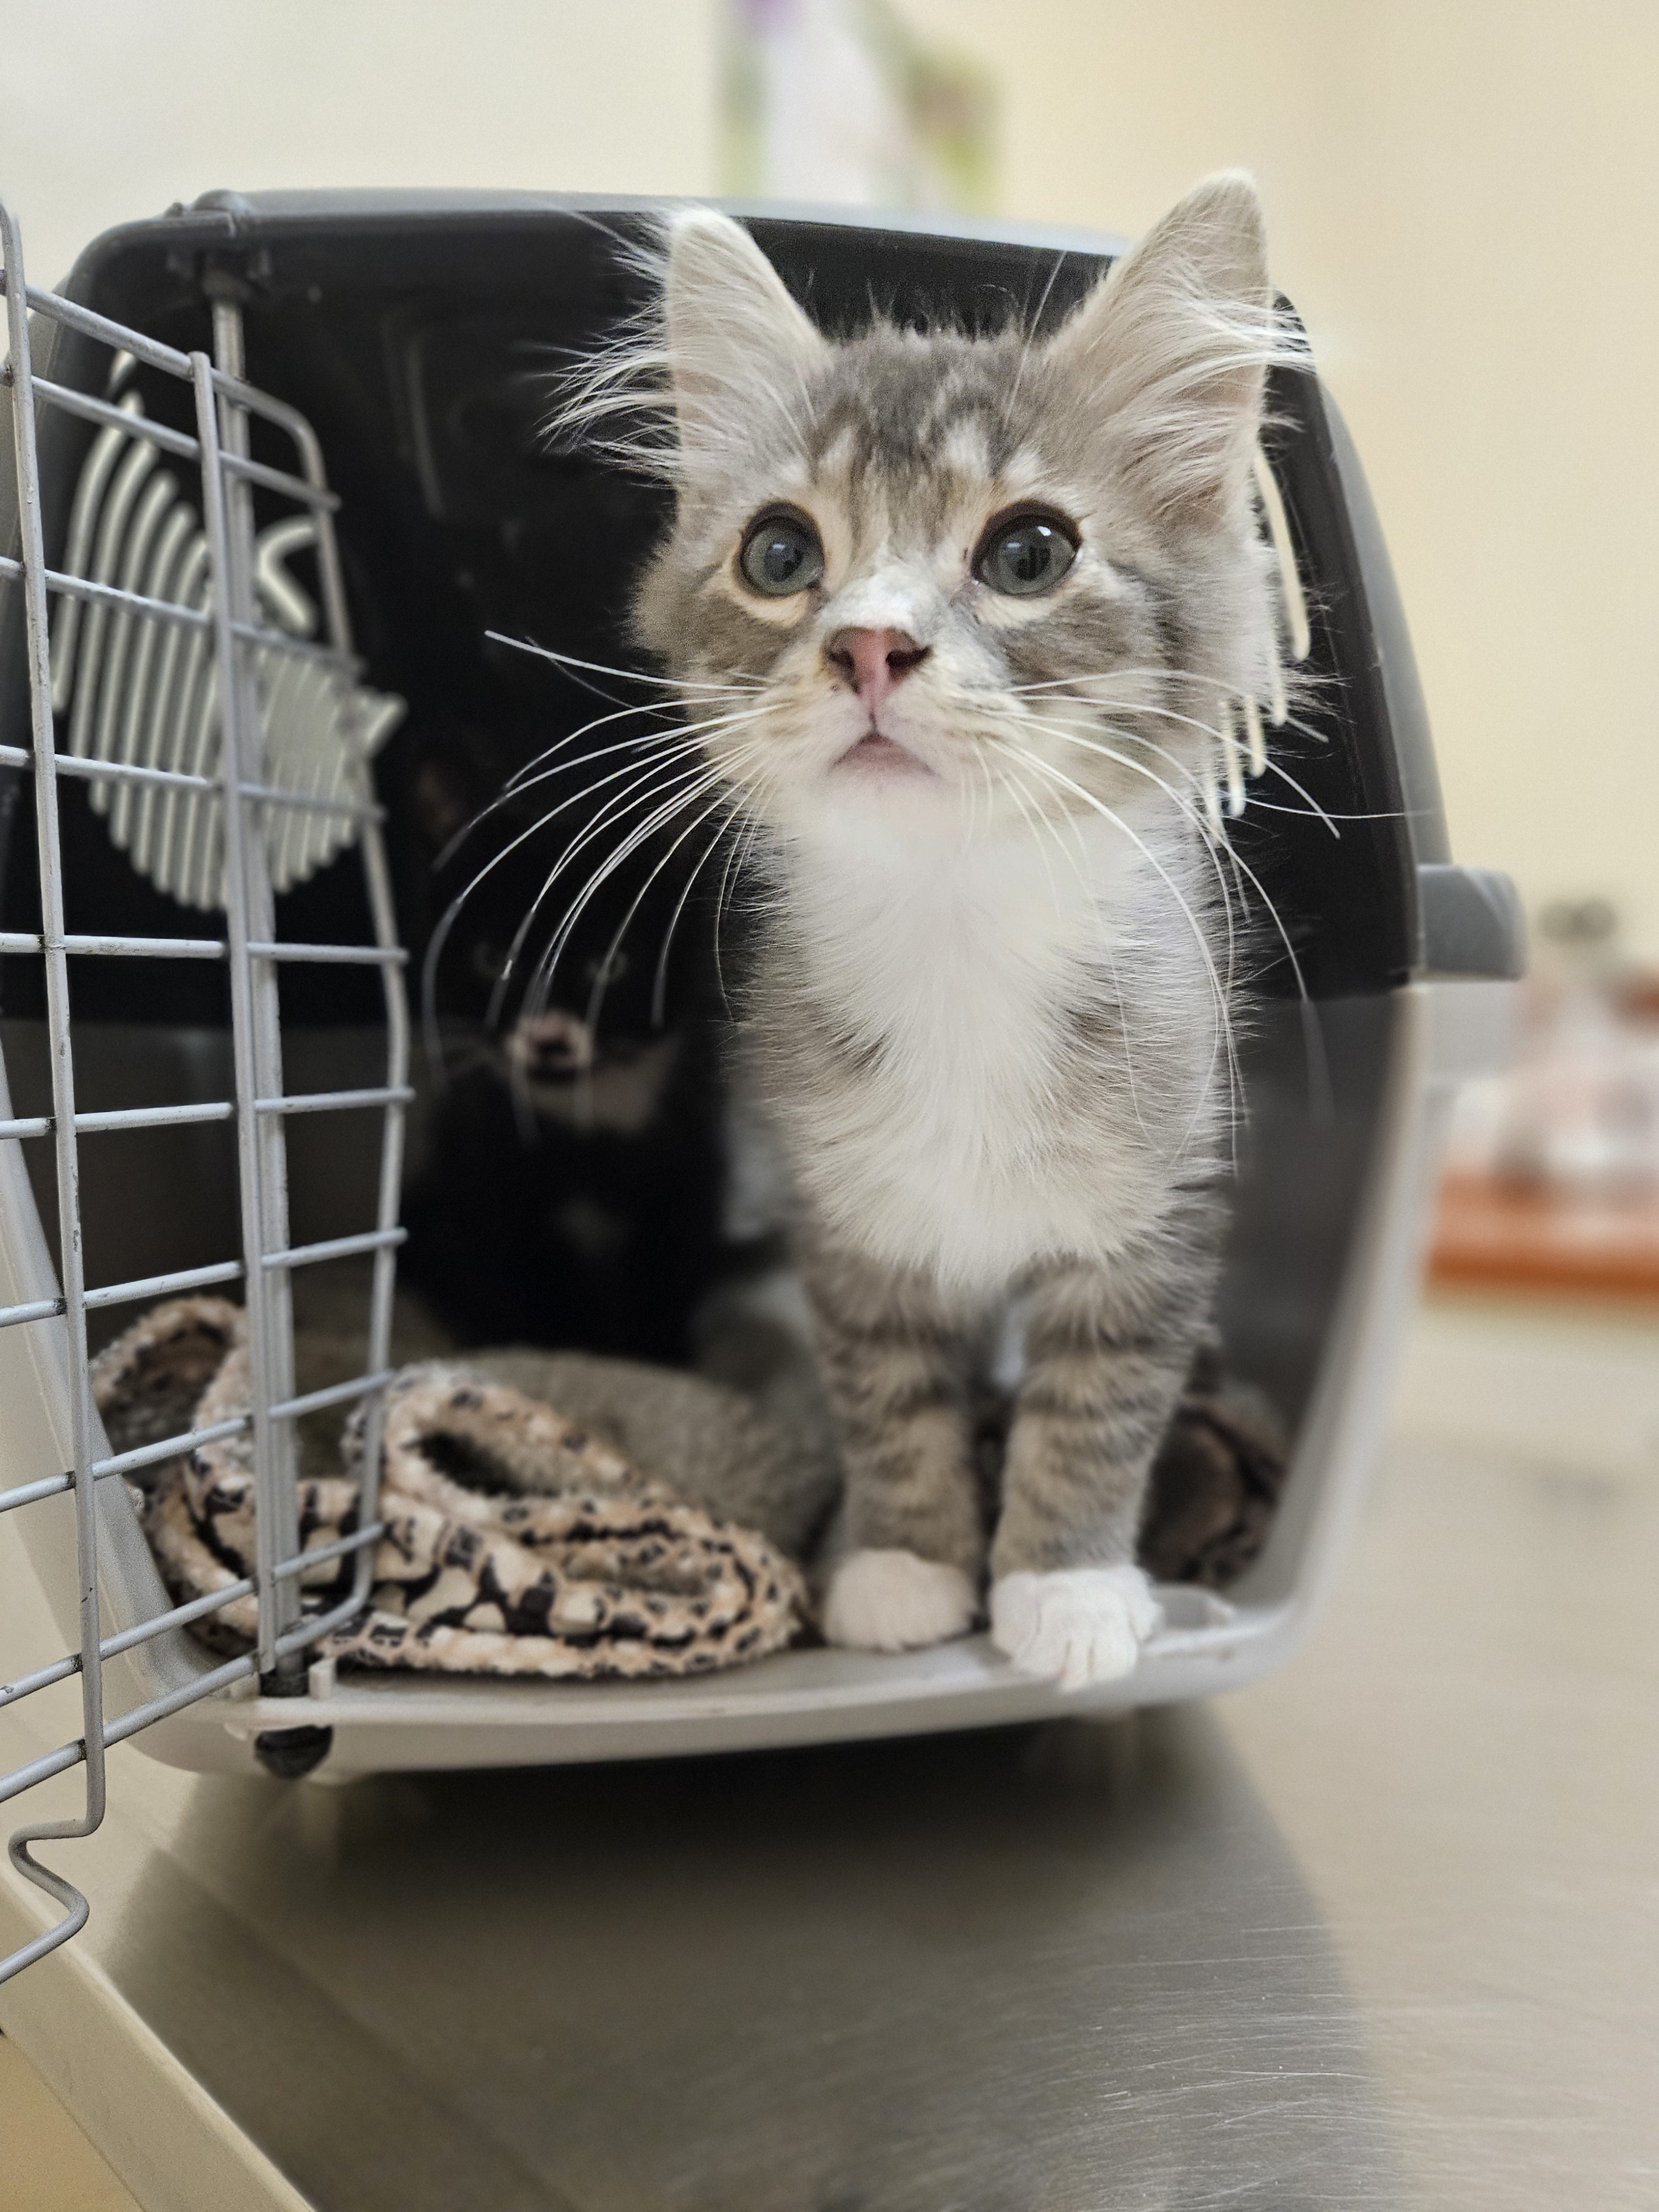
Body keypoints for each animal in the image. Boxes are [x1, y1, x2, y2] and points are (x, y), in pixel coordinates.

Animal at [566, 173, 1310, 1681]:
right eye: (779, 552)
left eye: (1029, 552)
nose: (868, 644)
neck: (955, 925)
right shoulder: (842, 1212)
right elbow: (886, 1392)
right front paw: (905, 1562)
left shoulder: (1155, 1210)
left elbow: (1098, 1408)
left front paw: (1065, 1589)